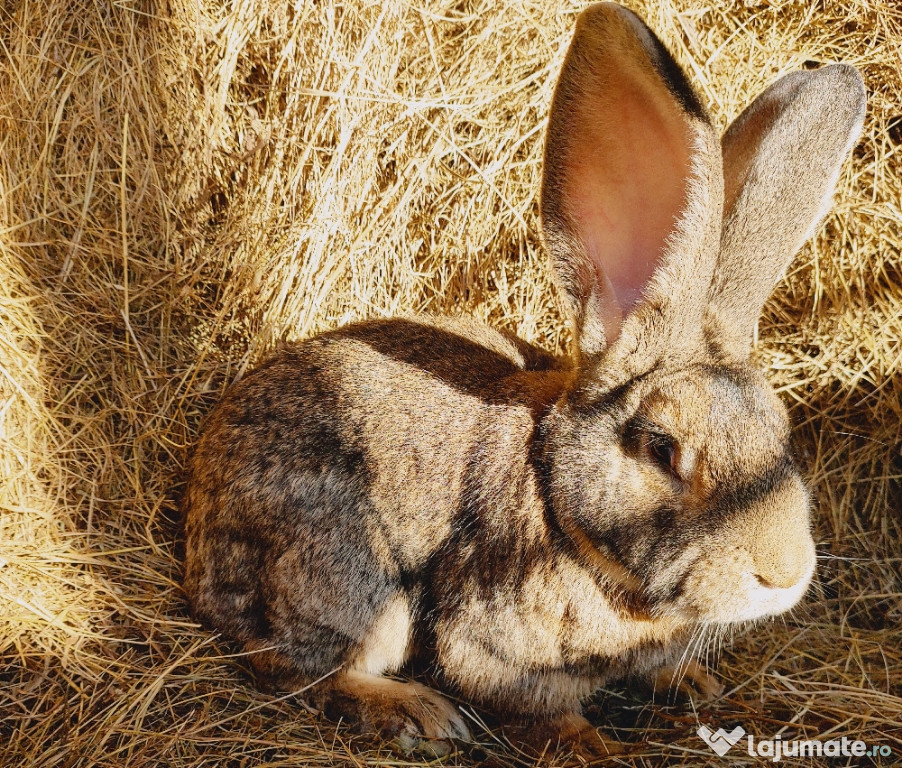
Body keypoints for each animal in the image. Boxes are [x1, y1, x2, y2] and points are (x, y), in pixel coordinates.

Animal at [180, 0, 864, 756]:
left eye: (782, 433)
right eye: (662, 450)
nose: (784, 573)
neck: (560, 506)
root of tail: (200, 511)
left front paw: (692, 685)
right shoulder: (495, 649)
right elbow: (535, 706)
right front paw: (590, 748)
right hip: (347, 577)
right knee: (298, 667)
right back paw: (417, 713)